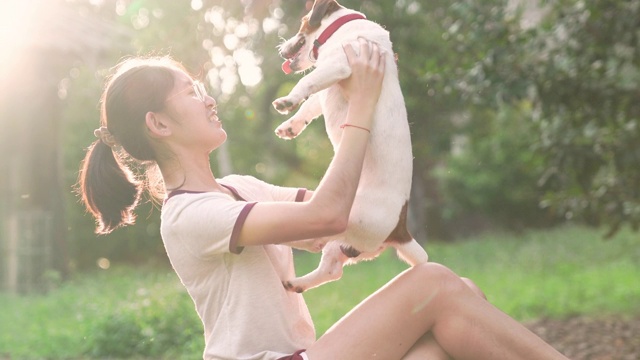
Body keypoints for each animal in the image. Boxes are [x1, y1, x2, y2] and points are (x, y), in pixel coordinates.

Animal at [272, 0, 428, 292]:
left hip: (341, 219)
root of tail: (399, 230)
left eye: (302, 21)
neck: (343, 29)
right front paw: (290, 126)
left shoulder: (339, 64)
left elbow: (306, 82)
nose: (281, 49)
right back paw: (296, 283)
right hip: (343, 244)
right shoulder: (327, 83)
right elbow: (310, 105)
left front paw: (287, 100)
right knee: (331, 270)